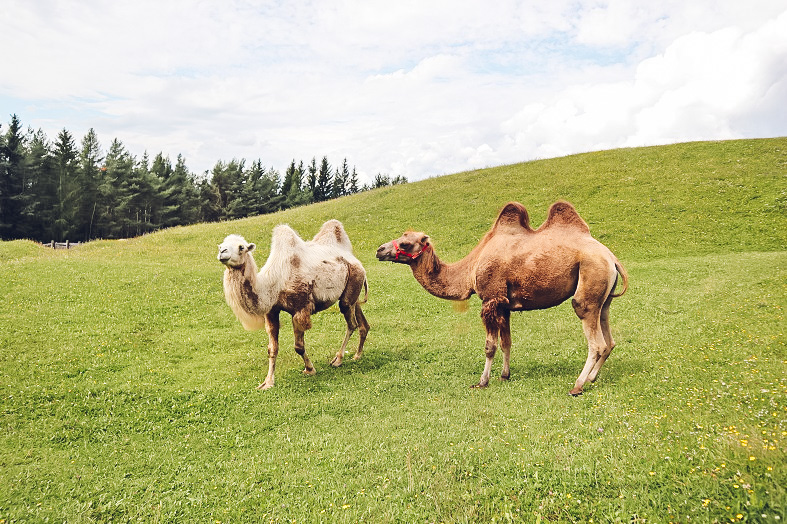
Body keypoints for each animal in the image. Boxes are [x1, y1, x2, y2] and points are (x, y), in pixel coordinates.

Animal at [220, 218, 370, 388]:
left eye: (241, 247)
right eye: (221, 245)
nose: (222, 252)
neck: (273, 284)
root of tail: (352, 257)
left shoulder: (300, 309)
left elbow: (298, 346)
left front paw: (310, 369)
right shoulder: (271, 312)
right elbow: (272, 348)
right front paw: (267, 382)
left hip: (353, 282)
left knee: (351, 323)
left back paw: (338, 359)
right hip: (353, 291)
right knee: (360, 318)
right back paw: (357, 355)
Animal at [378, 203, 632, 396]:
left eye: (406, 243)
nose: (379, 250)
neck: (470, 268)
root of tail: (611, 257)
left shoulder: (490, 298)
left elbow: (490, 346)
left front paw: (482, 382)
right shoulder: (504, 303)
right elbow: (506, 341)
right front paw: (504, 375)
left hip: (589, 282)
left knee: (595, 340)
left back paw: (577, 386)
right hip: (603, 296)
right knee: (608, 338)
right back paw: (591, 378)